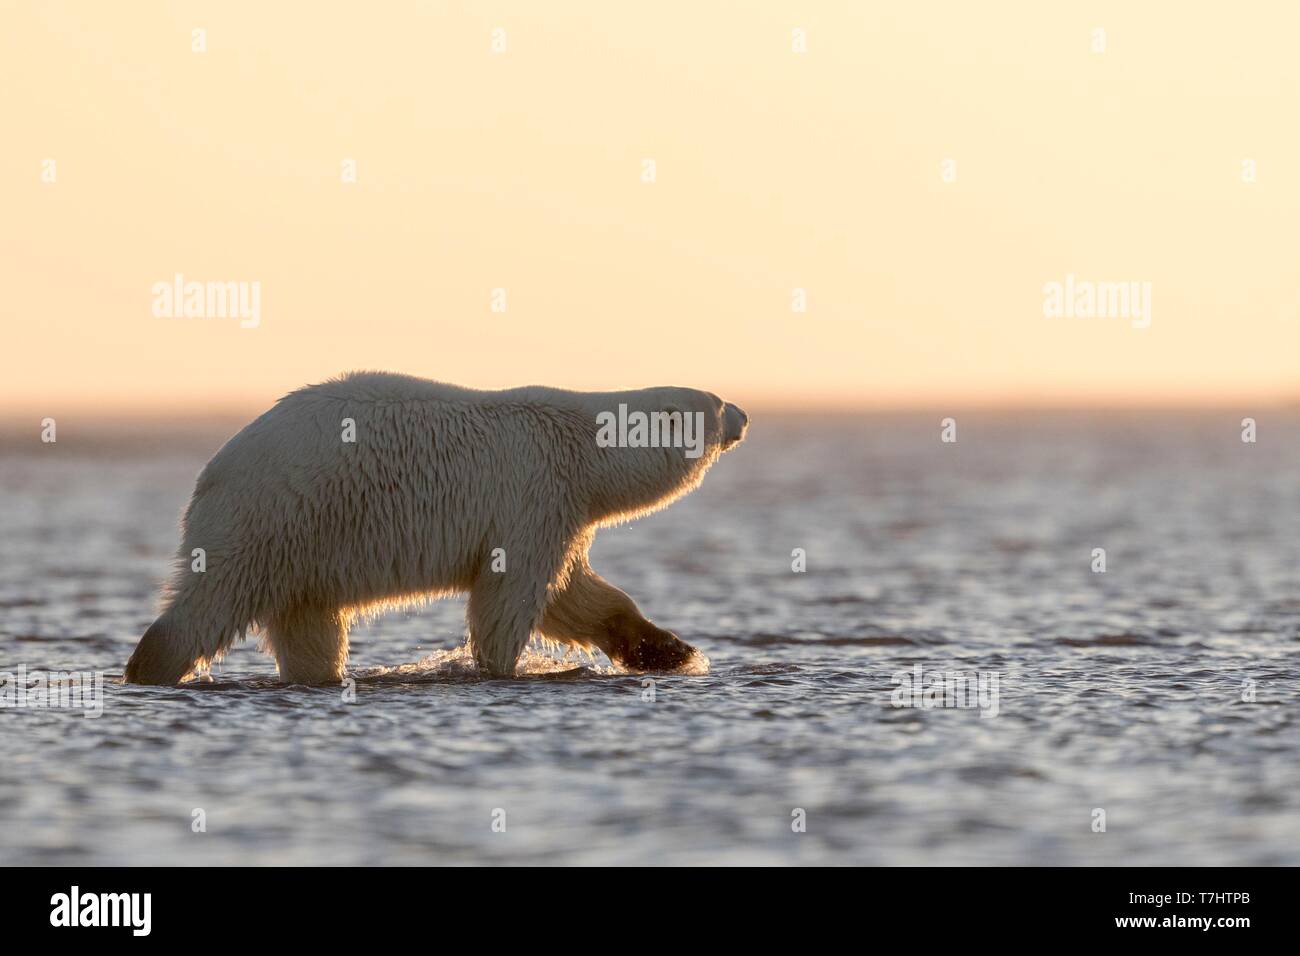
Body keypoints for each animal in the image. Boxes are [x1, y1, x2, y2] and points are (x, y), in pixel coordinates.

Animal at [124, 369, 754, 686]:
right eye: (719, 401)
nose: (746, 416)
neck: (581, 444)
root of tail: (211, 476)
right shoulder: (532, 492)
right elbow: (509, 599)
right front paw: (500, 668)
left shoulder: (560, 509)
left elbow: (577, 597)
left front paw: (670, 651)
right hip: (272, 519)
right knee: (207, 607)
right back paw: (148, 668)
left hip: (307, 551)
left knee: (310, 627)